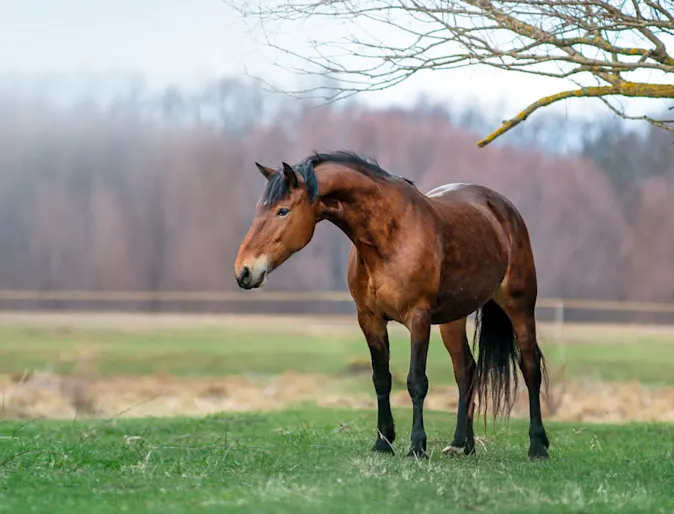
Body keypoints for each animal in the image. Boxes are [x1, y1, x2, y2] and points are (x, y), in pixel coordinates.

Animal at [234, 150, 548, 458]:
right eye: (259, 209)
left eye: (283, 211)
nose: (244, 271)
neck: (390, 237)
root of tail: (502, 207)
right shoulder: (369, 319)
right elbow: (381, 378)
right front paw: (383, 442)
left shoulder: (418, 319)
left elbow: (416, 381)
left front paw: (417, 446)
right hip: (453, 318)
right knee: (466, 370)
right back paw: (462, 444)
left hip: (519, 305)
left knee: (530, 366)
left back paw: (538, 446)